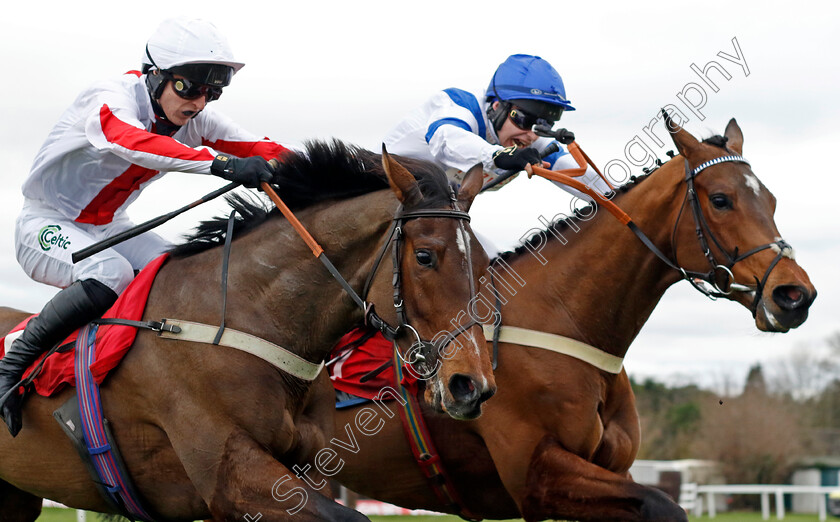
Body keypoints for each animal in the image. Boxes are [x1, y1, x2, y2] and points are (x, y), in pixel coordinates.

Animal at [0, 140, 496, 516]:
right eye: (425, 256)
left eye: (482, 262)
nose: (472, 384)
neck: (247, 318)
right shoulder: (231, 474)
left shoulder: (305, 468)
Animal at [326, 118, 812, 520]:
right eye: (721, 200)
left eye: (771, 200)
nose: (795, 294)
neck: (562, 318)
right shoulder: (537, 475)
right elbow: (666, 505)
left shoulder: (611, 468)